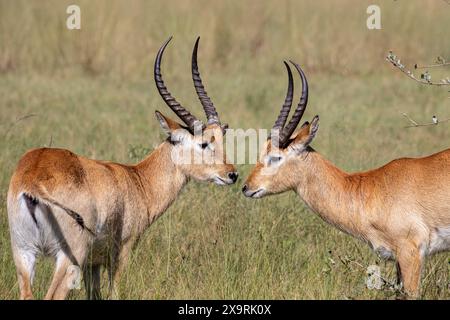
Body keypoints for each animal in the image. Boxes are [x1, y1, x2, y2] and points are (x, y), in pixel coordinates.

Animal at [7, 37, 239, 300]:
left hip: (23, 253)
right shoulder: (121, 253)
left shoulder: (94, 264)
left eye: (221, 139)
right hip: (68, 258)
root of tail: (33, 181)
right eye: (203, 143)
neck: (136, 180)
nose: (232, 174)